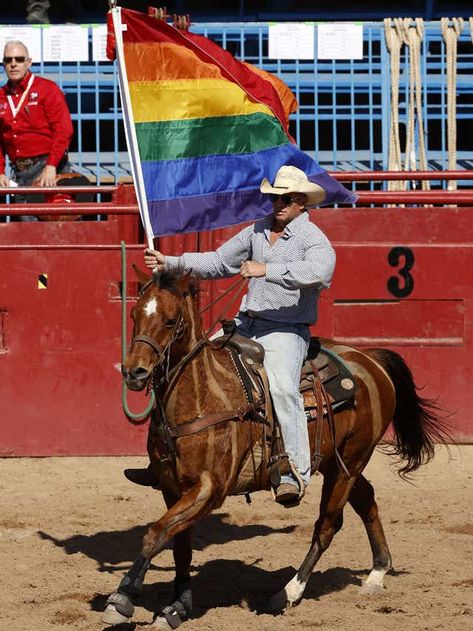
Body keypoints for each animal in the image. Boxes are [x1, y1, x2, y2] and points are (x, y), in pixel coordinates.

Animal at [102, 266, 446, 628]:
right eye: (134, 315)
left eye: (170, 321)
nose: (135, 372)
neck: (201, 397)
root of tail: (370, 359)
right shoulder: (173, 488)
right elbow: (178, 544)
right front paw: (176, 607)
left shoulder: (210, 489)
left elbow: (156, 533)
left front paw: (122, 598)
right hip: (337, 461)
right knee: (366, 500)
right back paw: (377, 573)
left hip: (351, 461)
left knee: (327, 525)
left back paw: (288, 593)